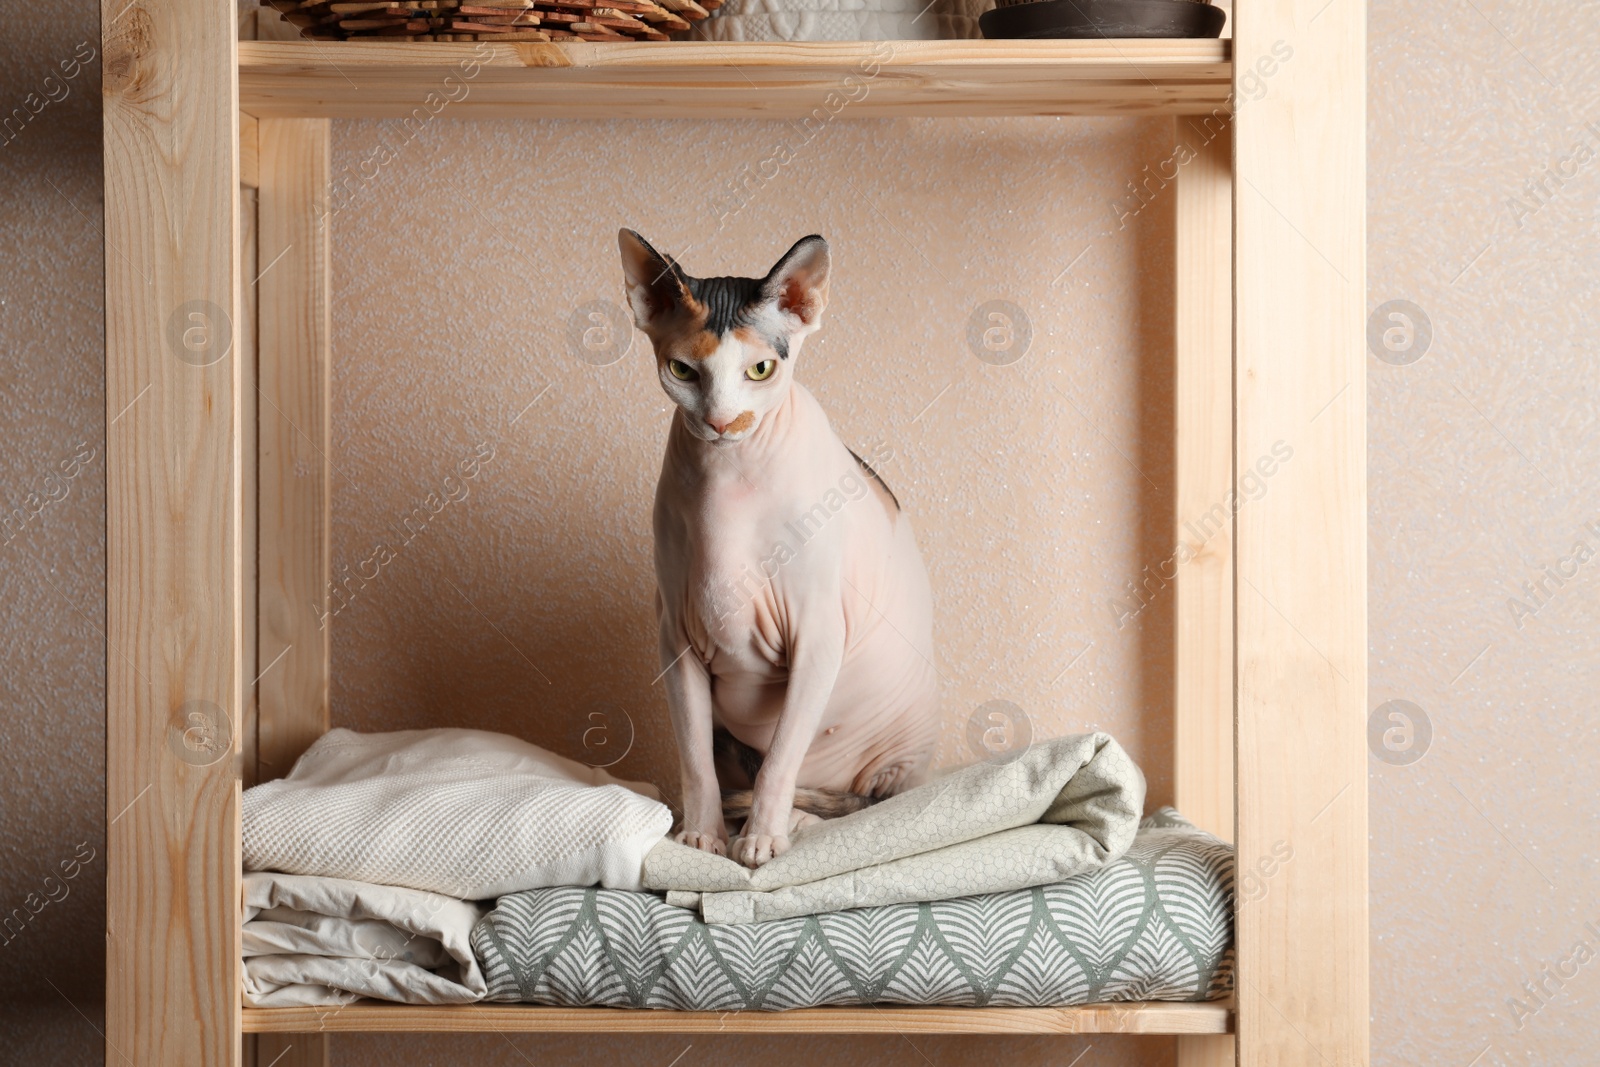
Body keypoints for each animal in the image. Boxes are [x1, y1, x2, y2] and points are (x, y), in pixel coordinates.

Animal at [614, 231, 934, 870]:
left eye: (760, 369)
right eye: (682, 369)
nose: (722, 421)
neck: (727, 485)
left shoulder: (818, 636)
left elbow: (782, 759)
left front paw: (760, 840)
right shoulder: (676, 640)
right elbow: (694, 761)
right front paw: (704, 838)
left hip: (898, 758)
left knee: (858, 803)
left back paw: (799, 821)